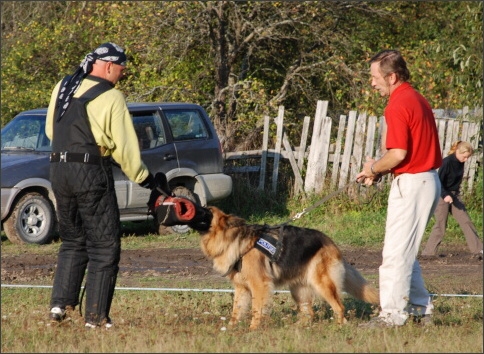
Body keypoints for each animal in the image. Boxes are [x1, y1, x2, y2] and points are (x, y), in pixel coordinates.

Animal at [195, 206, 380, 330]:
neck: (234, 239)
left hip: (323, 284)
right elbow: (237, 310)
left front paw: (253, 329)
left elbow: (257, 309)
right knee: (309, 313)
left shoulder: (259, 285)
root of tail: (330, 243)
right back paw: (296, 327)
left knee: (339, 307)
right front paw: (231, 328)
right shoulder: (242, 288)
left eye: (206, 211)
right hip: (298, 290)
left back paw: (338, 326)